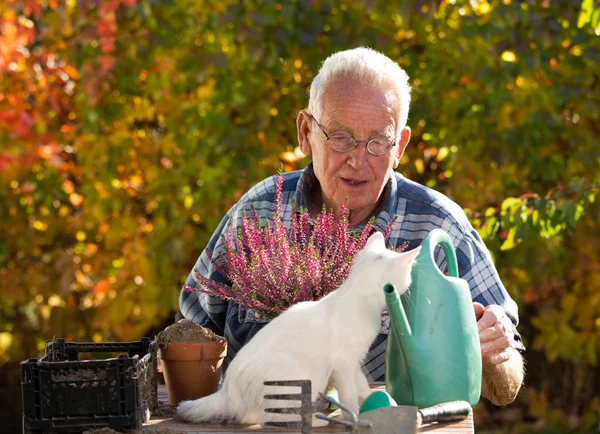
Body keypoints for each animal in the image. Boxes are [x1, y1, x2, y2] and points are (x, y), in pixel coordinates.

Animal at [178, 232, 420, 426]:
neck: (357, 295)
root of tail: (227, 390)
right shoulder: (343, 364)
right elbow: (349, 396)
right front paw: (355, 418)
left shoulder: (354, 362)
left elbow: (361, 385)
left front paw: (376, 402)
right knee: (270, 417)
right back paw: (315, 420)